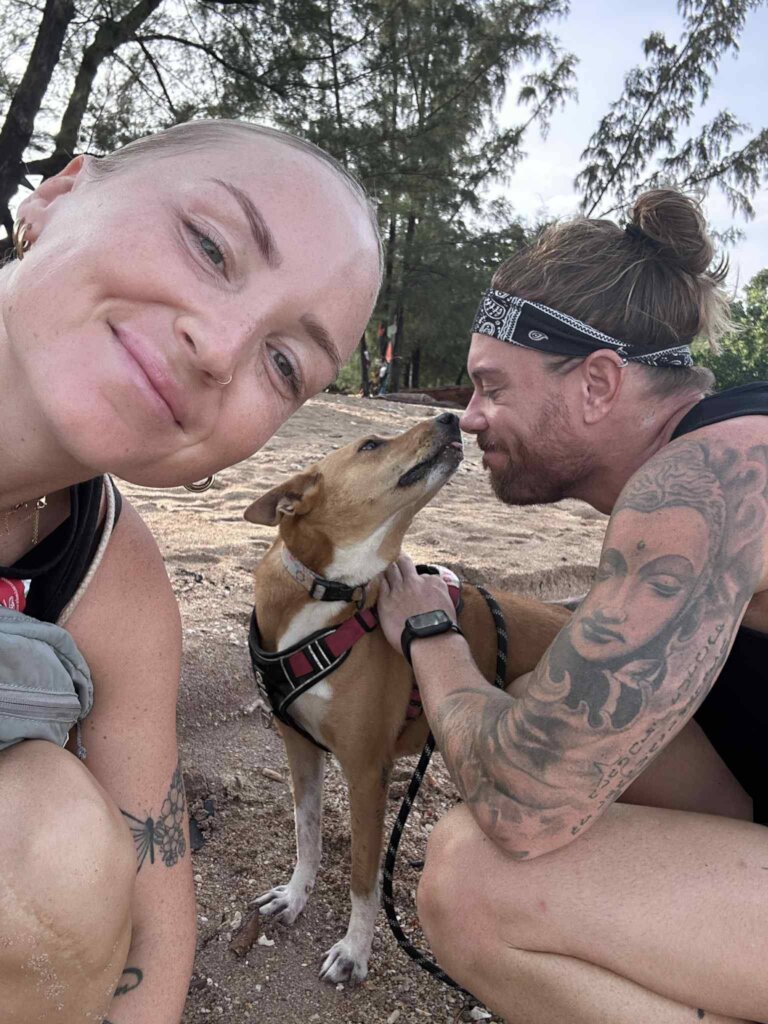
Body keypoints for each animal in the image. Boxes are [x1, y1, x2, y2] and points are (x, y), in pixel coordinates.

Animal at [243, 412, 569, 984]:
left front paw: (354, 951)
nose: (451, 416)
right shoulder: (299, 748)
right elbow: (307, 834)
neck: (326, 594)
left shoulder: (366, 770)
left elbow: (364, 878)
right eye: (371, 444)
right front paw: (295, 896)